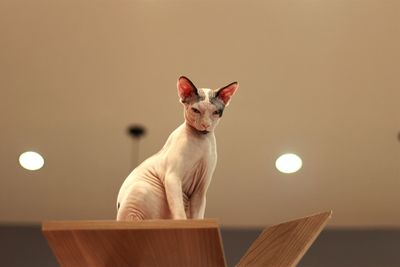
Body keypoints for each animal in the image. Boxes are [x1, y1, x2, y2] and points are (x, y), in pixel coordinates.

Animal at [117, 76, 239, 221]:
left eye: (215, 112)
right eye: (195, 110)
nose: (205, 125)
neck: (201, 141)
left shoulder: (201, 188)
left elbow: (197, 217)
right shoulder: (172, 177)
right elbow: (180, 214)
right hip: (141, 188)